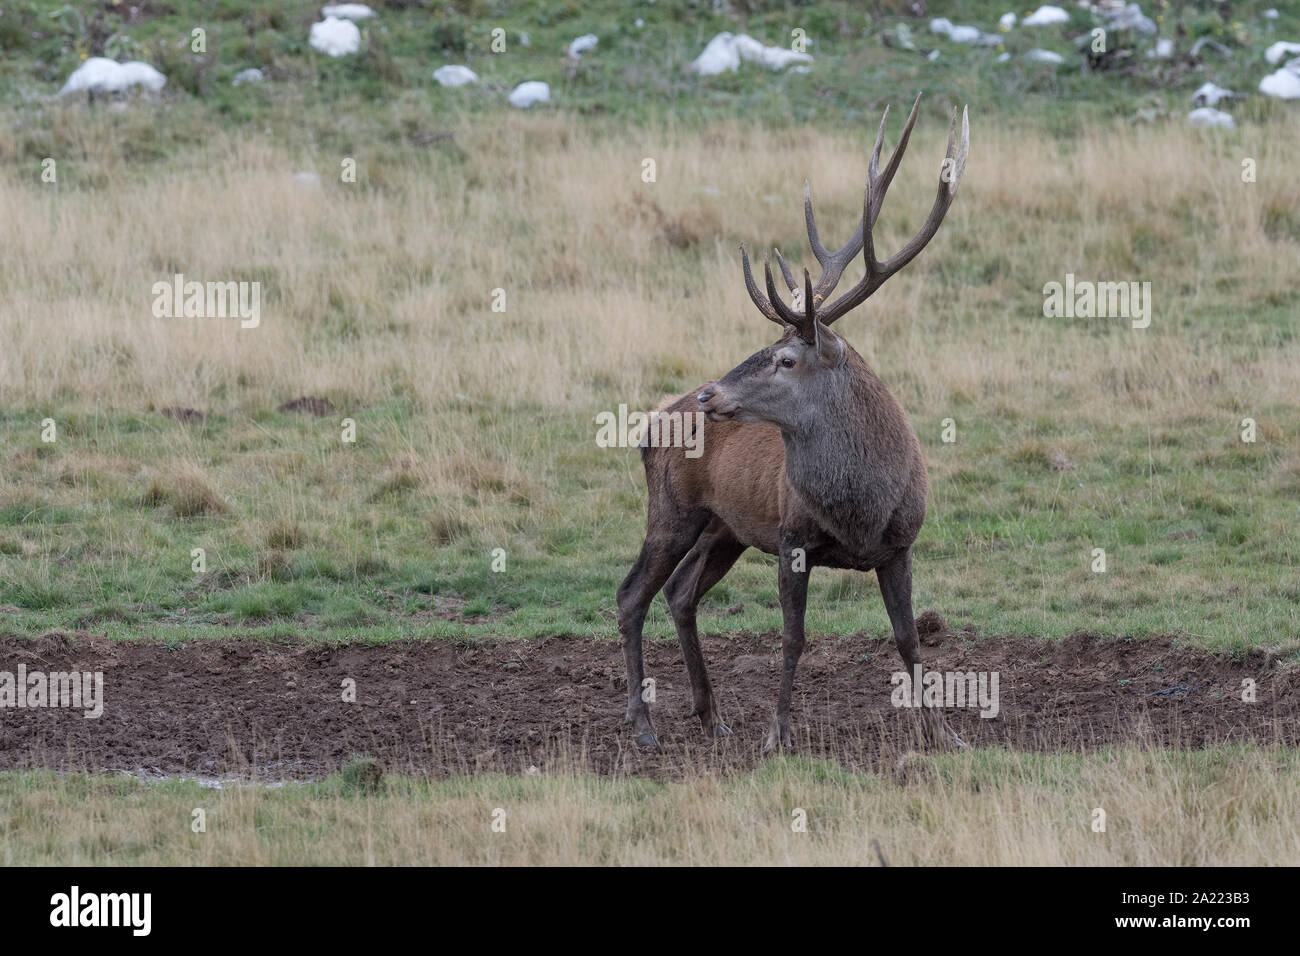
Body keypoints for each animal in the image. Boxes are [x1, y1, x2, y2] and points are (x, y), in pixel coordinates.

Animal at [617, 94, 969, 753]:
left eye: (785, 358)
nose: (709, 394)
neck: (861, 509)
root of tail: (649, 427)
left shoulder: (901, 543)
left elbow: (909, 637)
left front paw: (942, 731)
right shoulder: (790, 538)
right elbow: (792, 637)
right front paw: (778, 734)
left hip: (724, 527)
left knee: (680, 593)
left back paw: (711, 714)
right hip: (672, 509)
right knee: (632, 595)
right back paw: (644, 723)